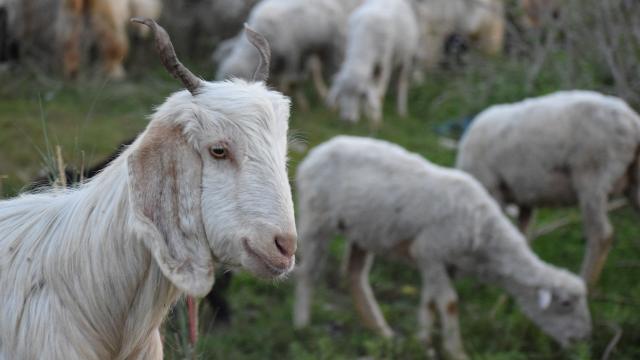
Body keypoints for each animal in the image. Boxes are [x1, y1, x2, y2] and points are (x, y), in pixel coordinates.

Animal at [294, 136, 592, 360]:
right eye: (565, 304)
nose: (581, 339)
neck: (484, 232)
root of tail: (319, 150)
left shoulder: (436, 262)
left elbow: (429, 301)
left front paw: (423, 343)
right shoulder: (430, 251)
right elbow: (448, 303)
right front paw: (455, 351)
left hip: (361, 231)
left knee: (355, 275)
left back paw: (381, 330)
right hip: (316, 217)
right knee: (308, 271)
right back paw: (303, 324)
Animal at [456, 90, 640, 286]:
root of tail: (632, 122)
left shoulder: (493, 189)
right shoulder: (524, 201)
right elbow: (521, 236)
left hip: (593, 174)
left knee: (601, 234)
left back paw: (585, 282)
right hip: (632, 179)